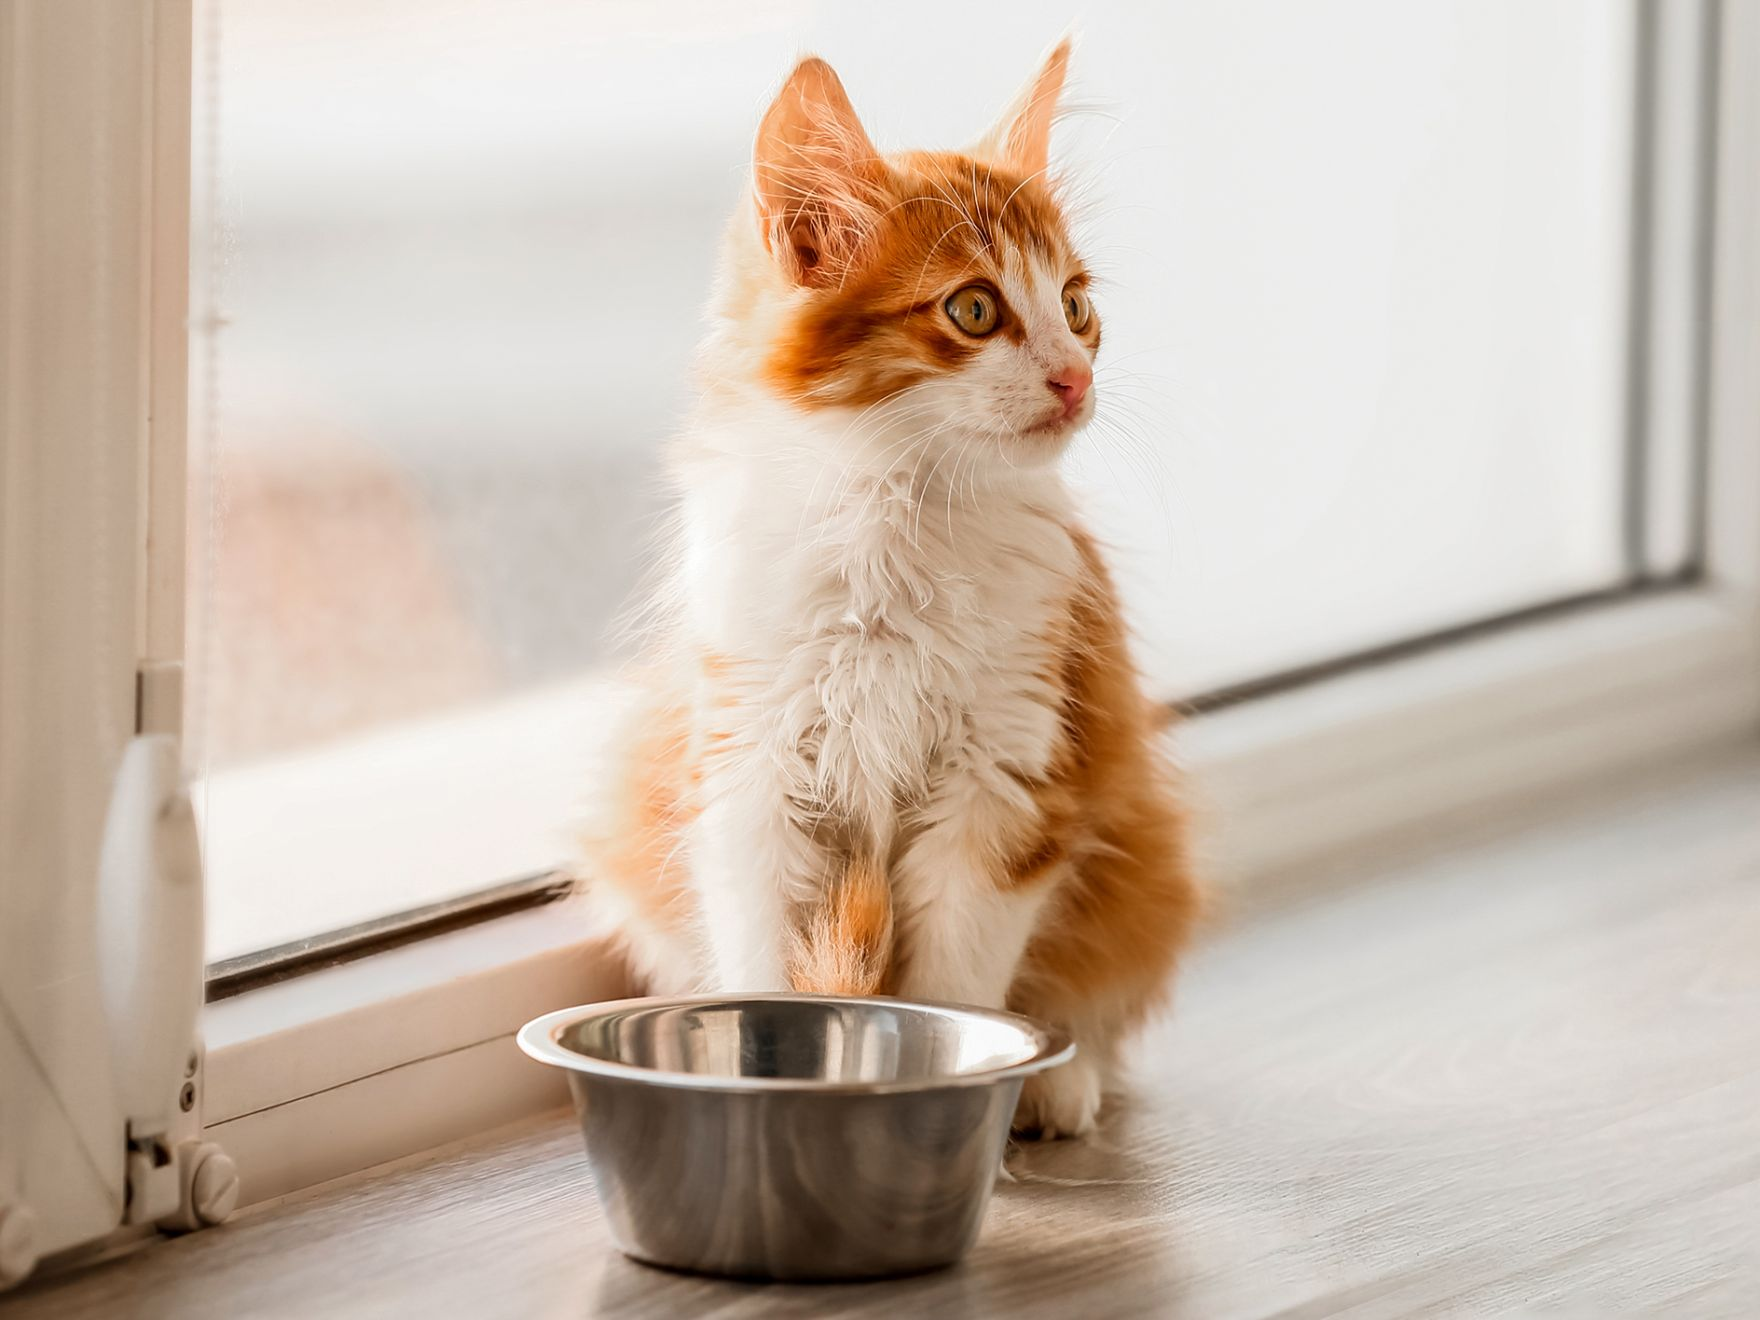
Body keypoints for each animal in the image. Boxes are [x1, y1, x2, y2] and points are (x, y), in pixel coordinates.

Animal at [584, 41, 1203, 1140]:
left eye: (1076, 307)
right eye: (973, 309)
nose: (1074, 380)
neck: (893, 522)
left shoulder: (1005, 782)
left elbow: (959, 988)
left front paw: (966, 1090)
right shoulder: (748, 773)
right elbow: (762, 968)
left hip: (1144, 860)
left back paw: (1057, 1085)